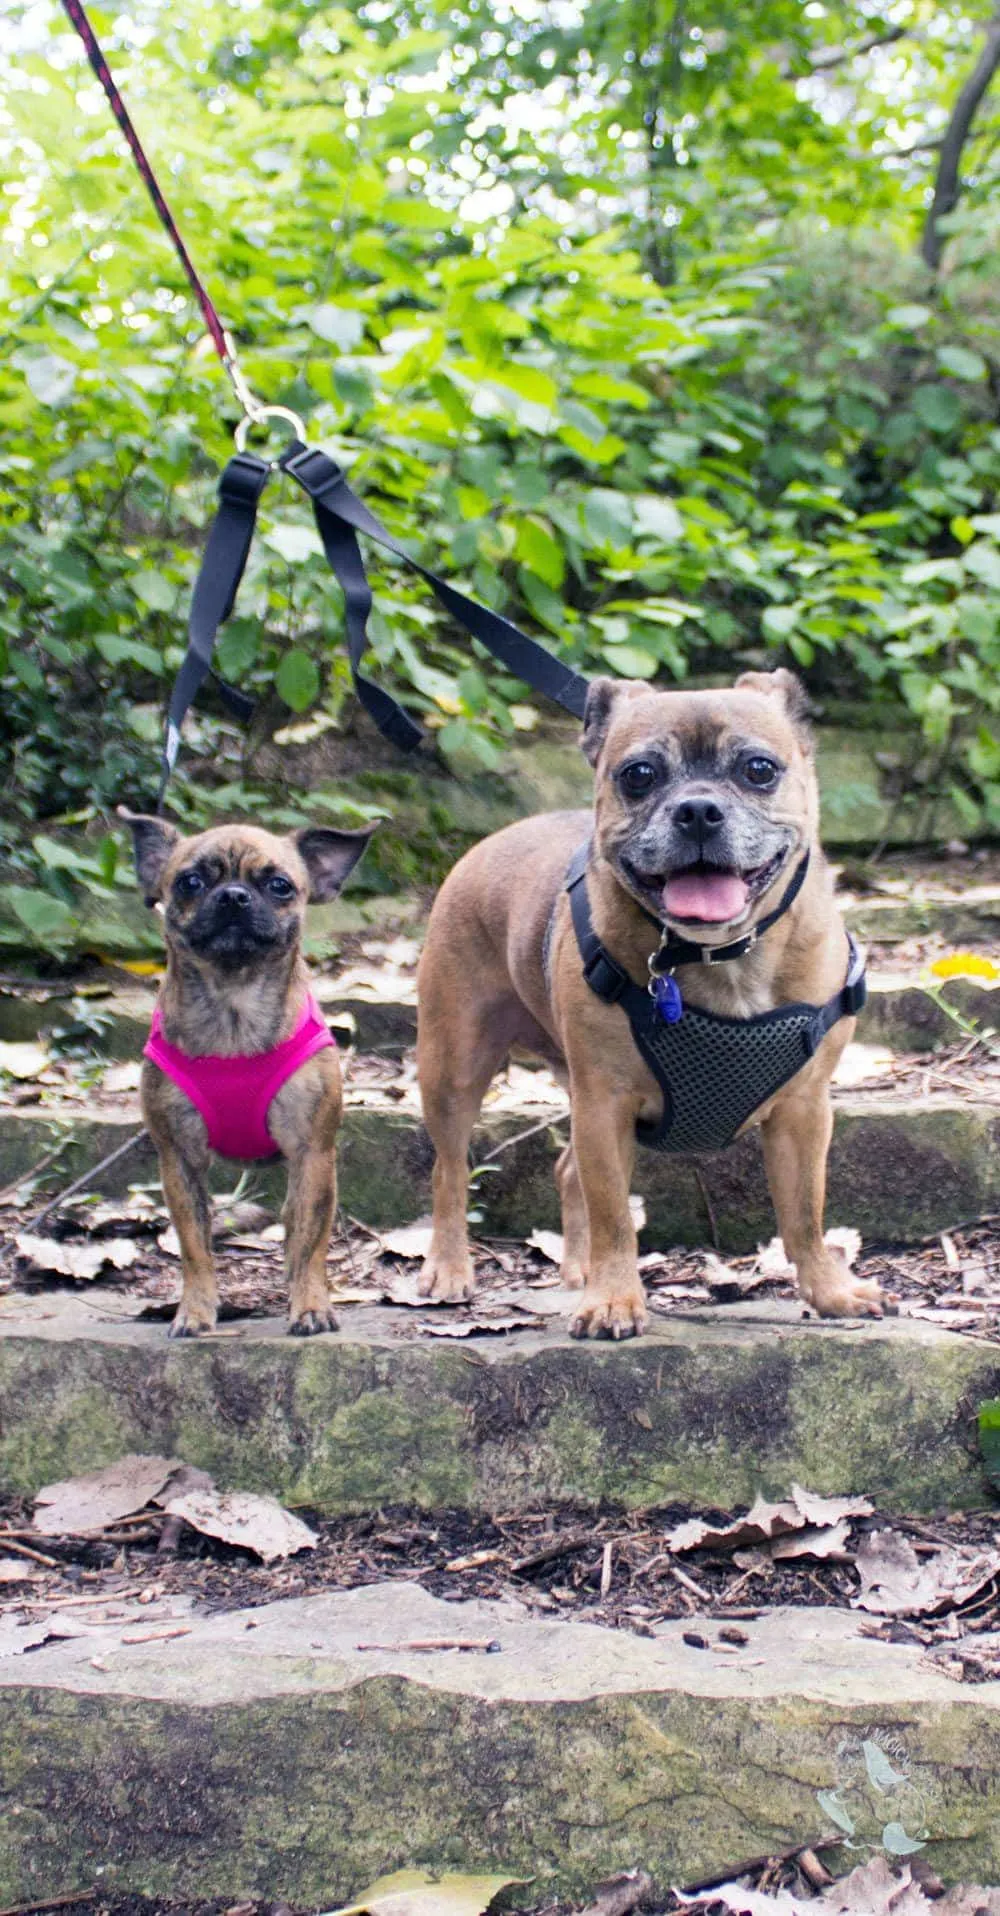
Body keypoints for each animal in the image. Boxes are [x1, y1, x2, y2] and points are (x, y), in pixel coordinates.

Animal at [119, 808, 373, 1333]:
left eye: (279, 885)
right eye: (190, 882)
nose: (234, 896)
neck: (233, 1006)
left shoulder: (312, 1153)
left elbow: (310, 1242)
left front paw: (310, 1305)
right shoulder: (179, 1161)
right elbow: (194, 1247)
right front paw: (195, 1311)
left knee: (296, 1227)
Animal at [415, 678, 877, 1348]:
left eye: (759, 769)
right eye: (638, 776)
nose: (699, 810)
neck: (719, 953)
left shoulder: (804, 1111)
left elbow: (804, 1214)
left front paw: (830, 1291)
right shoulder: (604, 1106)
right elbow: (614, 1218)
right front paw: (614, 1300)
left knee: (565, 1170)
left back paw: (576, 1269)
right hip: (454, 1068)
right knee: (450, 1173)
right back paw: (449, 1269)